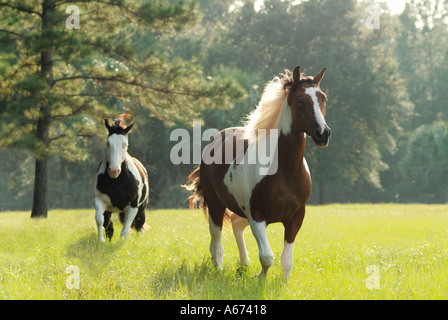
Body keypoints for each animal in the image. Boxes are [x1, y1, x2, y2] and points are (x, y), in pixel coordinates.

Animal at [184, 65, 330, 278]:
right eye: (300, 100)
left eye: (323, 97)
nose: (323, 134)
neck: (286, 172)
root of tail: (215, 140)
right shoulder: (256, 214)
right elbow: (267, 256)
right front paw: (259, 277)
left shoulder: (295, 216)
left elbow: (286, 260)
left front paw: (281, 282)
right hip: (216, 205)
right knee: (216, 243)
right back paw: (220, 271)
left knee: (235, 223)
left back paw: (243, 264)